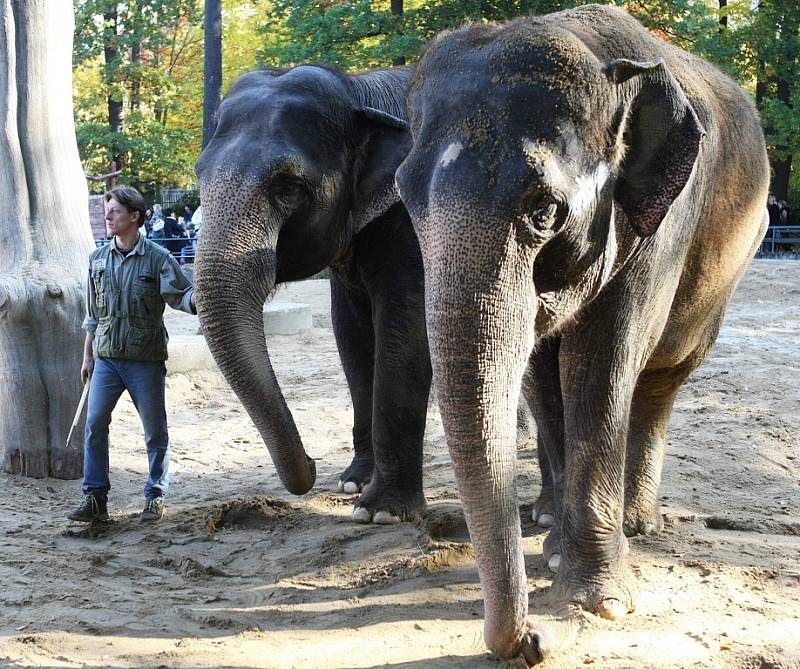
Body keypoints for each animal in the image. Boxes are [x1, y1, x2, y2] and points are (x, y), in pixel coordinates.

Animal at [192, 64, 432, 520]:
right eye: (199, 175)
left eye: (288, 187)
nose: (312, 462)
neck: (360, 92)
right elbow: (351, 337)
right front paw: (352, 483)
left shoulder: (414, 223)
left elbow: (405, 331)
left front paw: (381, 512)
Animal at [396, 5, 772, 664]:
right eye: (404, 197)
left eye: (544, 210)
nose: (531, 642)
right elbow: (544, 378)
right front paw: (555, 555)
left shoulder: (658, 226)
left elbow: (600, 366)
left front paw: (600, 602)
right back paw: (552, 523)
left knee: (659, 382)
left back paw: (639, 524)